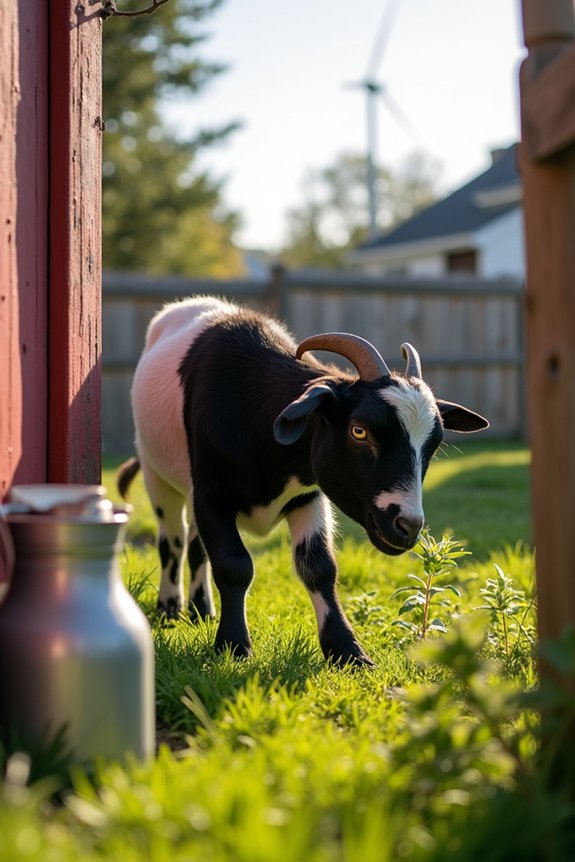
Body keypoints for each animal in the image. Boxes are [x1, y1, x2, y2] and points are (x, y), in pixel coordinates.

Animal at [118, 296, 488, 665]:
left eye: (433, 445)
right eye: (359, 431)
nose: (408, 526)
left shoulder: (308, 498)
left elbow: (319, 568)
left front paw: (348, 652)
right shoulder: (211, 493)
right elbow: (233, 564)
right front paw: (234, 645)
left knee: (196, 547)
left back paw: (201, 610)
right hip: (156, 472)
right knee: (173, 541)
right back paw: (170, 607)